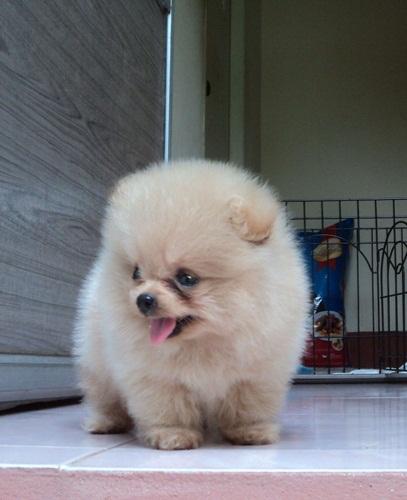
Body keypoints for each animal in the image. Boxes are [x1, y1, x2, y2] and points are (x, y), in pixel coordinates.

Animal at [74, 159, 308, 450]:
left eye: (186, 278)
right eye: (136, 272)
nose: (144, 299)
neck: (205, 340)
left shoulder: (258, 373)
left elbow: (247, 404)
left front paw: (250, 432)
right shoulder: (157, 377)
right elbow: (169, 407)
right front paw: (173, 435)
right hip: (97, 361)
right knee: (103, 395)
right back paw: (105, 422)